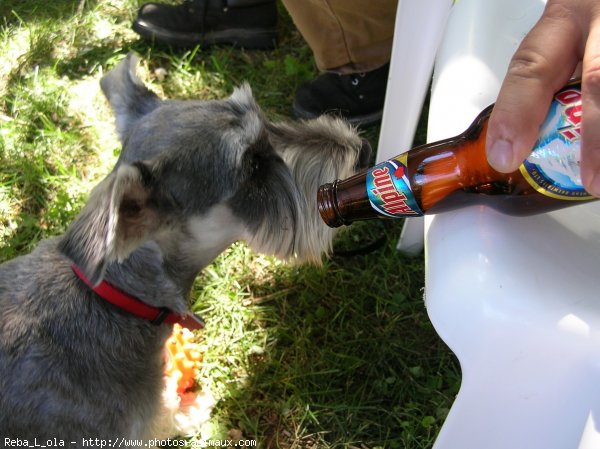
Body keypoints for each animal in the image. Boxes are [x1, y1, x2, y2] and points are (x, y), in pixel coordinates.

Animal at [0, 53, 370, 440]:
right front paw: (188, 412)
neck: (120, 296)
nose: (362, 150)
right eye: (253, 165)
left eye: (266, 122)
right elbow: (160, 414)